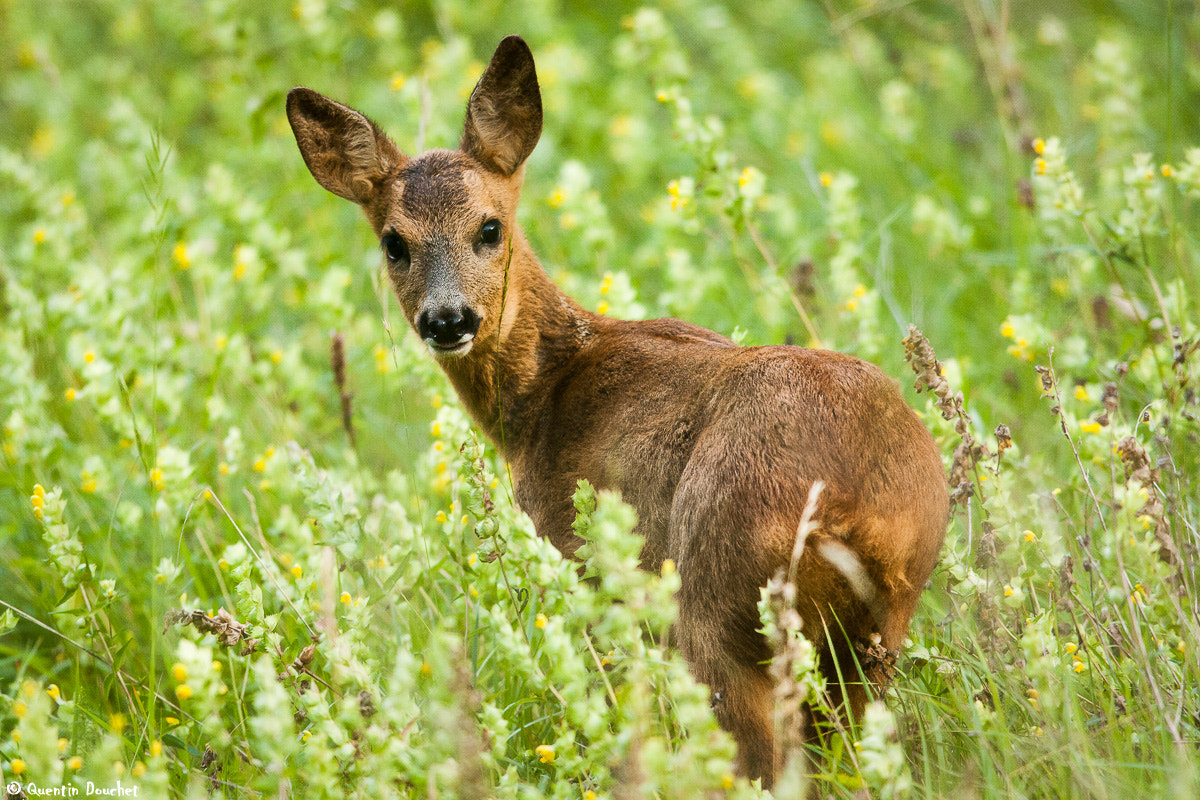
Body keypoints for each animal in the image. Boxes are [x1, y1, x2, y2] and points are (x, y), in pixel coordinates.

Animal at [288, 34, 945, 786]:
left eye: (490, 227)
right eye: (393, 242)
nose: (447, 319)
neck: (544, 396)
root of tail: (854, 505)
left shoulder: (580, 556)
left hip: (719, 596)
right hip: (875, 633)